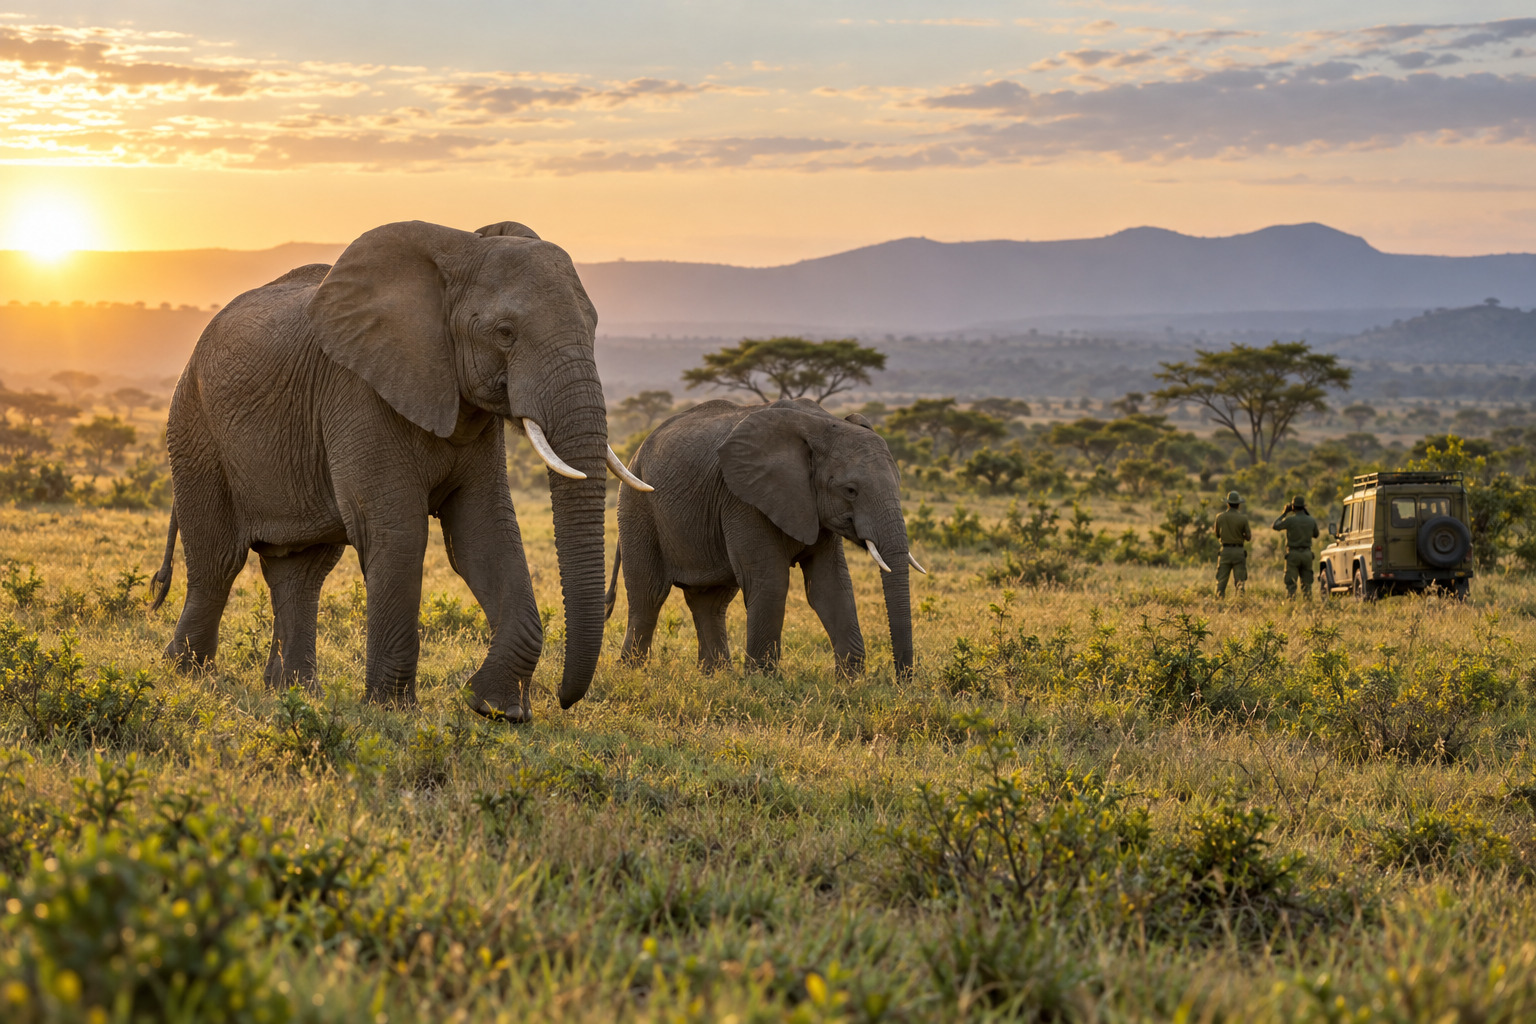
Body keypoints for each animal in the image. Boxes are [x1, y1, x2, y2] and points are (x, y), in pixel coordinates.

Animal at [149, 219, 651, 722]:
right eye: (505, 332)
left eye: (594, 327)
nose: (564, 699)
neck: (461, 250)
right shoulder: (359, 391)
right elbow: (398, 532)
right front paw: (393, 711)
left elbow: (484, 533)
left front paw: (496, 709)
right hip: (194, 426)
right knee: (218, 559)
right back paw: (187, 674)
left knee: (301, 571)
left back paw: (294, 691)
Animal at [603, 398, 923, 677]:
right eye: (851, 490)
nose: (903, 679)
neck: (820, 425)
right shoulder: (743, 498)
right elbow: (770, 581)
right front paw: (763, 682)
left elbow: (830, 585)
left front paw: (850, 682)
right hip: (637, 506)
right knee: (649, 594)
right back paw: (633, 673)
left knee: (711, 600)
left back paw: (716, 677)